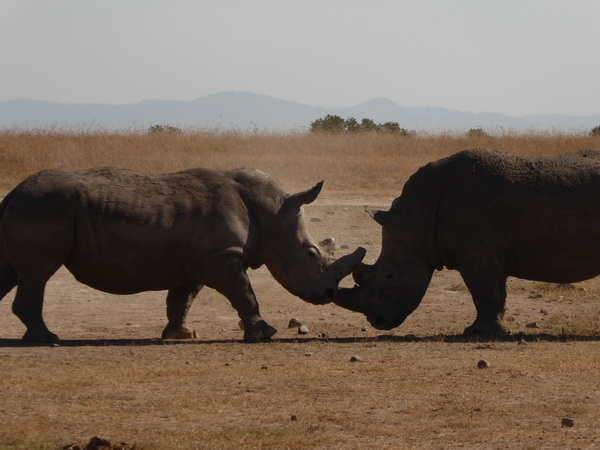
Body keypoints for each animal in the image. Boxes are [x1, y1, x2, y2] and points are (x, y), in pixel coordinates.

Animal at [0, 167, 366, 342]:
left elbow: (182, 299)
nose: (330, 293)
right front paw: (265, 335)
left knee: (13, 272)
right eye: (312, 253)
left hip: (34, 207)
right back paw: (47, 338)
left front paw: (181, 335)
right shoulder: (220, 257)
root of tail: (12, 193)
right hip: (44, 206)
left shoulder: (199, 261)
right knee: (38, 274)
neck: (272, 213)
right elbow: (244, 293)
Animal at [336, 149, 600, 336]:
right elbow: (496, 294)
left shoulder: (475, 249)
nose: (376, 321)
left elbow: (483, 293)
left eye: (388, 277)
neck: (416, 220)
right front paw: (496, 331)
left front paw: (477, 333)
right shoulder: (489, 250)